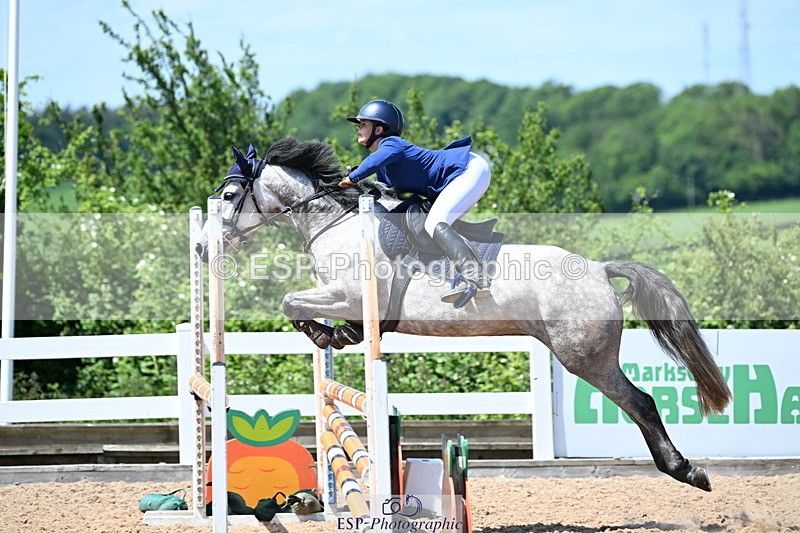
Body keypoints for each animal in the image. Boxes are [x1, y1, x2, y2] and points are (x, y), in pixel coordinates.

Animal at [196, 138, 731, 491]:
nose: (202, 248)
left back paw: (687, 471)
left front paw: (326, 333)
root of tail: (599, 269)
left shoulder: (345, 294)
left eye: (229, 198)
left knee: (640, 402)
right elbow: (299, 307)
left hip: (585, 357)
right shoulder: (342, 297)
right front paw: (335, 335)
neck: (337, 222)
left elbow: (292, 302)